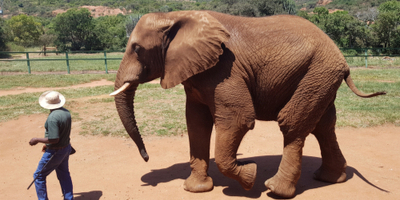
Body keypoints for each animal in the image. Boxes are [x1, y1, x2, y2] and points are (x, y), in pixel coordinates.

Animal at [109, 10, 384, 197]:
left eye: (137, 49)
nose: (146, 157)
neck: (176, 16)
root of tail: (341, 57)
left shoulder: (224, 70)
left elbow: (238, 118)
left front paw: (250, 177)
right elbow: (196, 123)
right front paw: (196, 189)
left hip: (318, 73)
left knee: (292, 123)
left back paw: (276, 189)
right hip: (320, 78)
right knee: (324, 126)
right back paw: (329, 179)